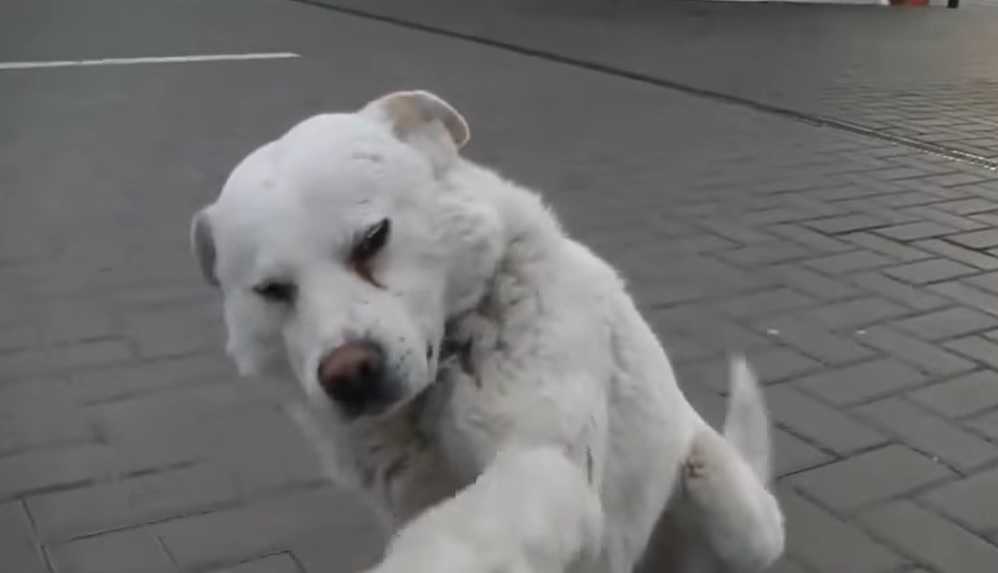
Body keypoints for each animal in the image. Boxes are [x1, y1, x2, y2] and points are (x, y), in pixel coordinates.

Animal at [191, 89, 784, 572]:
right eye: (272, 290)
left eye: (373, 238)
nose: (350, 373)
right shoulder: (409, 500)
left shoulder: (544, 464)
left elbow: (456, 538)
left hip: (725, 500)